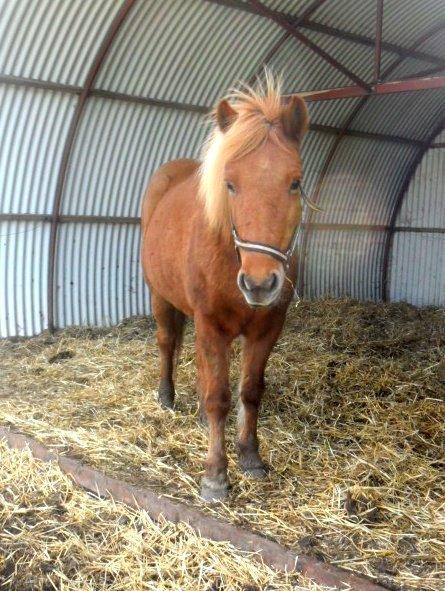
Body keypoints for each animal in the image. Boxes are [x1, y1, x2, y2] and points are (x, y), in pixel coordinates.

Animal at [141, 76, 308, 502]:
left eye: (295, 182)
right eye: (230, 184)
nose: (260, 283)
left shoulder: (267, 329)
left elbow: (249, 391)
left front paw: (250, 456)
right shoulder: (210, 324)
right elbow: (219, 397)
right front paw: (215, 475)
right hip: (161, 298)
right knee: (167, 342)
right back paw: (166, 397)